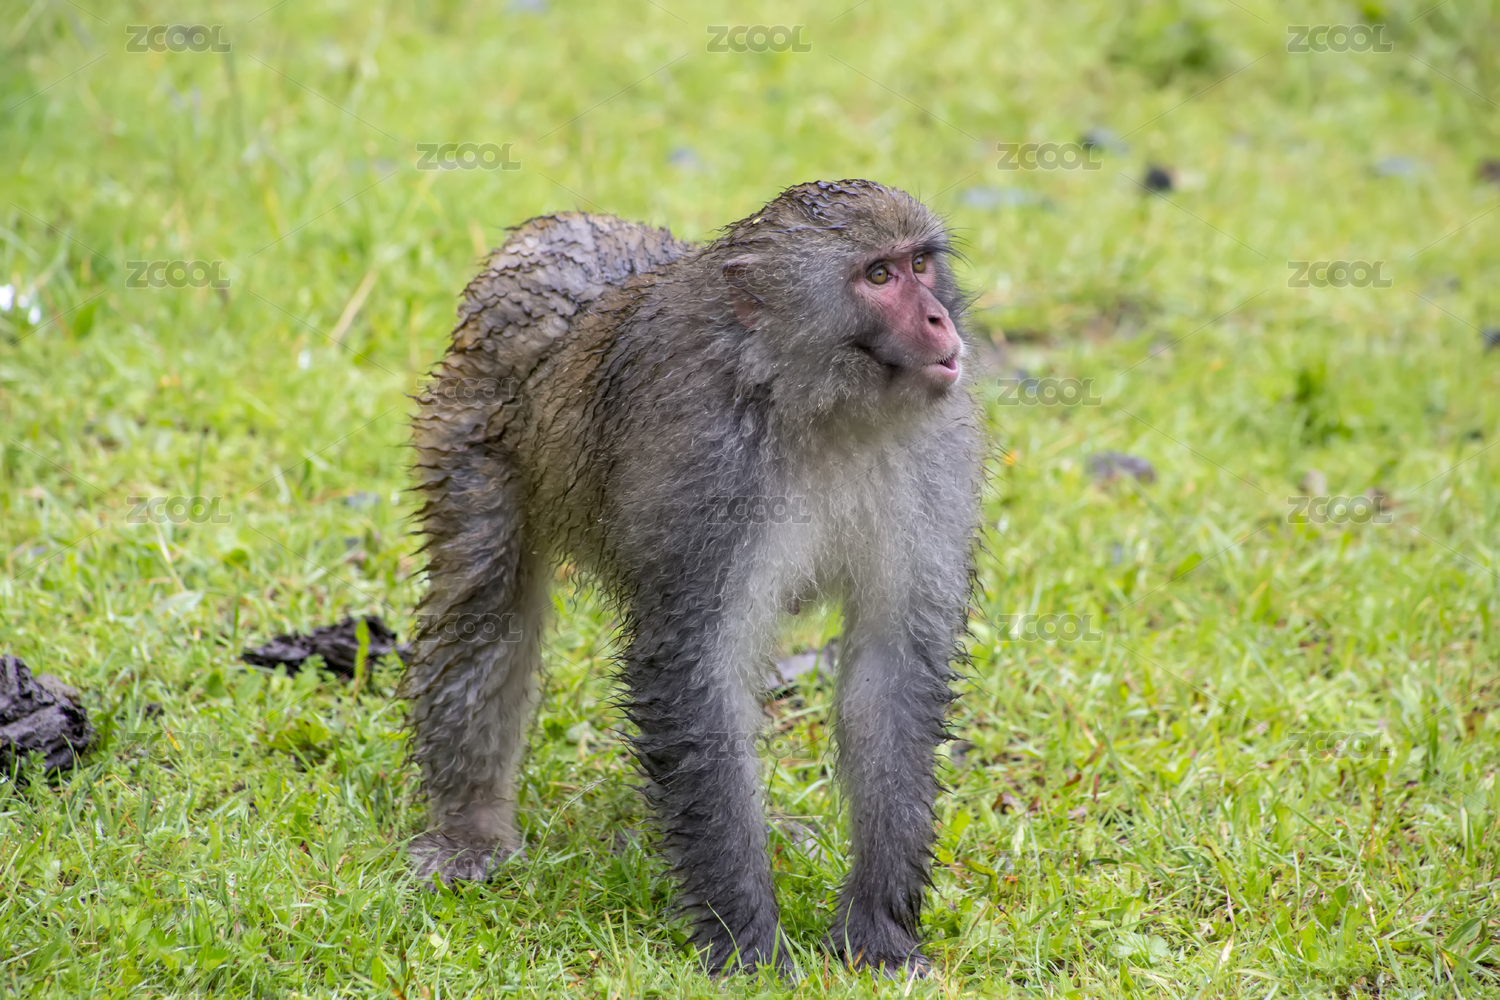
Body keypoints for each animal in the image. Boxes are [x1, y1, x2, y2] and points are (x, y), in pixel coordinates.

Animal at [403, 180, 982, 977]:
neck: (816, 407)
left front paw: (879, 931)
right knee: (484, 600)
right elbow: (693, 670)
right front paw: (747, 941)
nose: (937, 318)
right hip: (467, 424)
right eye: (879, 276)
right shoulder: (707, 469)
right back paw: (470, 824)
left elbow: (893, 674)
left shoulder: (934, 458)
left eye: (921, 264)